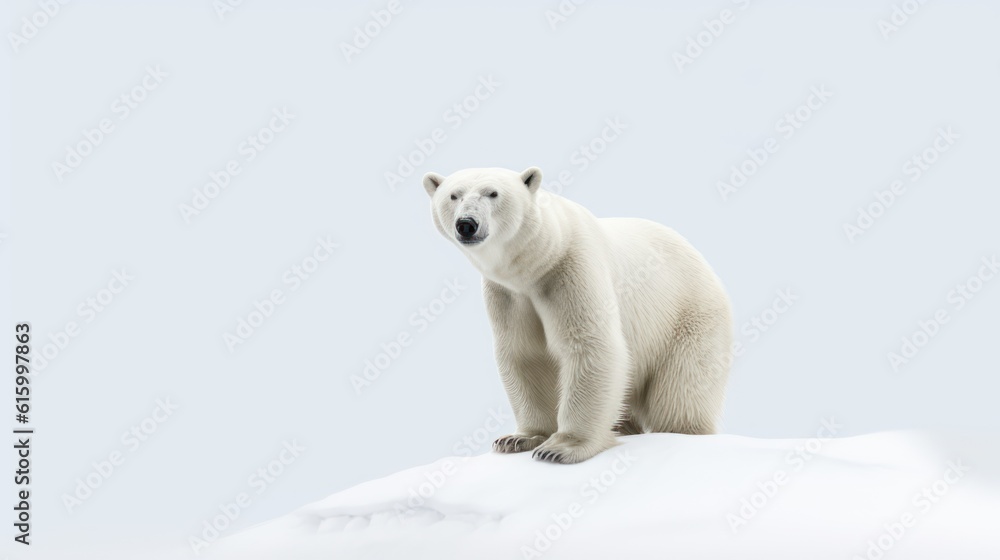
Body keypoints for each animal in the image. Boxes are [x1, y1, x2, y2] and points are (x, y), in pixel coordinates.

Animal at [422, 167, 732, 464]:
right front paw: (518, 438)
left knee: (679, 391)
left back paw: (679, 430)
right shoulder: (508, 295)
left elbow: (591, 345)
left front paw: (560, 448)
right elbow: (524, 354)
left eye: (493, 193)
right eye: (454, 195)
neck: (537, 263)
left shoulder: (571, 269)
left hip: (688, 315)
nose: (467, 224)